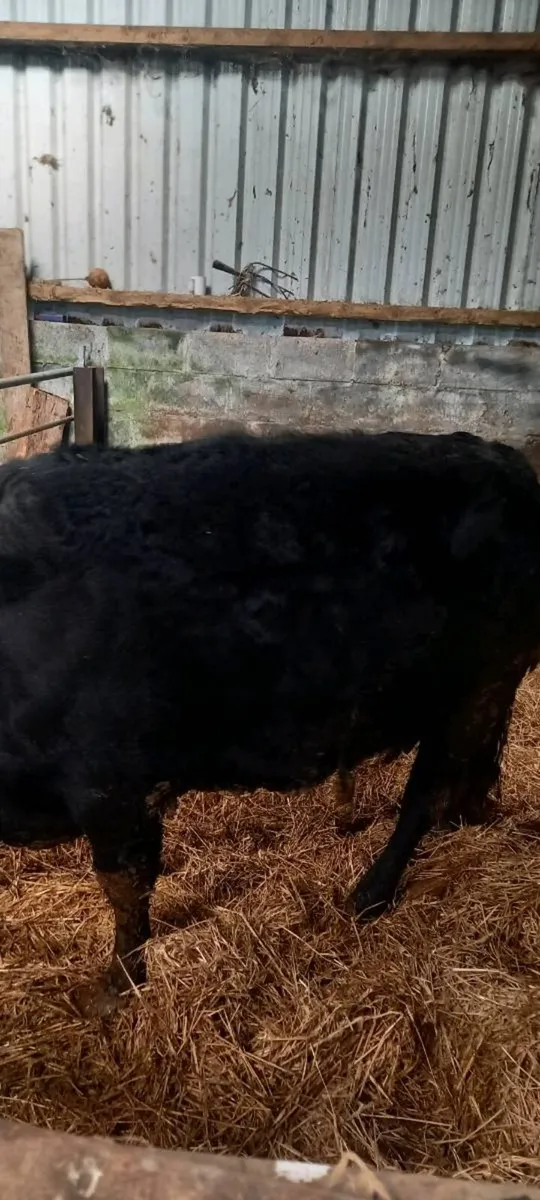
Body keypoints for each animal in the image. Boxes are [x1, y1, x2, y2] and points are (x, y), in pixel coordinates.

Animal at [0, 429, 538, 1013]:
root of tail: (498, 456)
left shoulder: (112, 782)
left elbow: (126, 886)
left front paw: (119, 983)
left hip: (477, 689)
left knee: (423, 798)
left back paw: (368, 896)